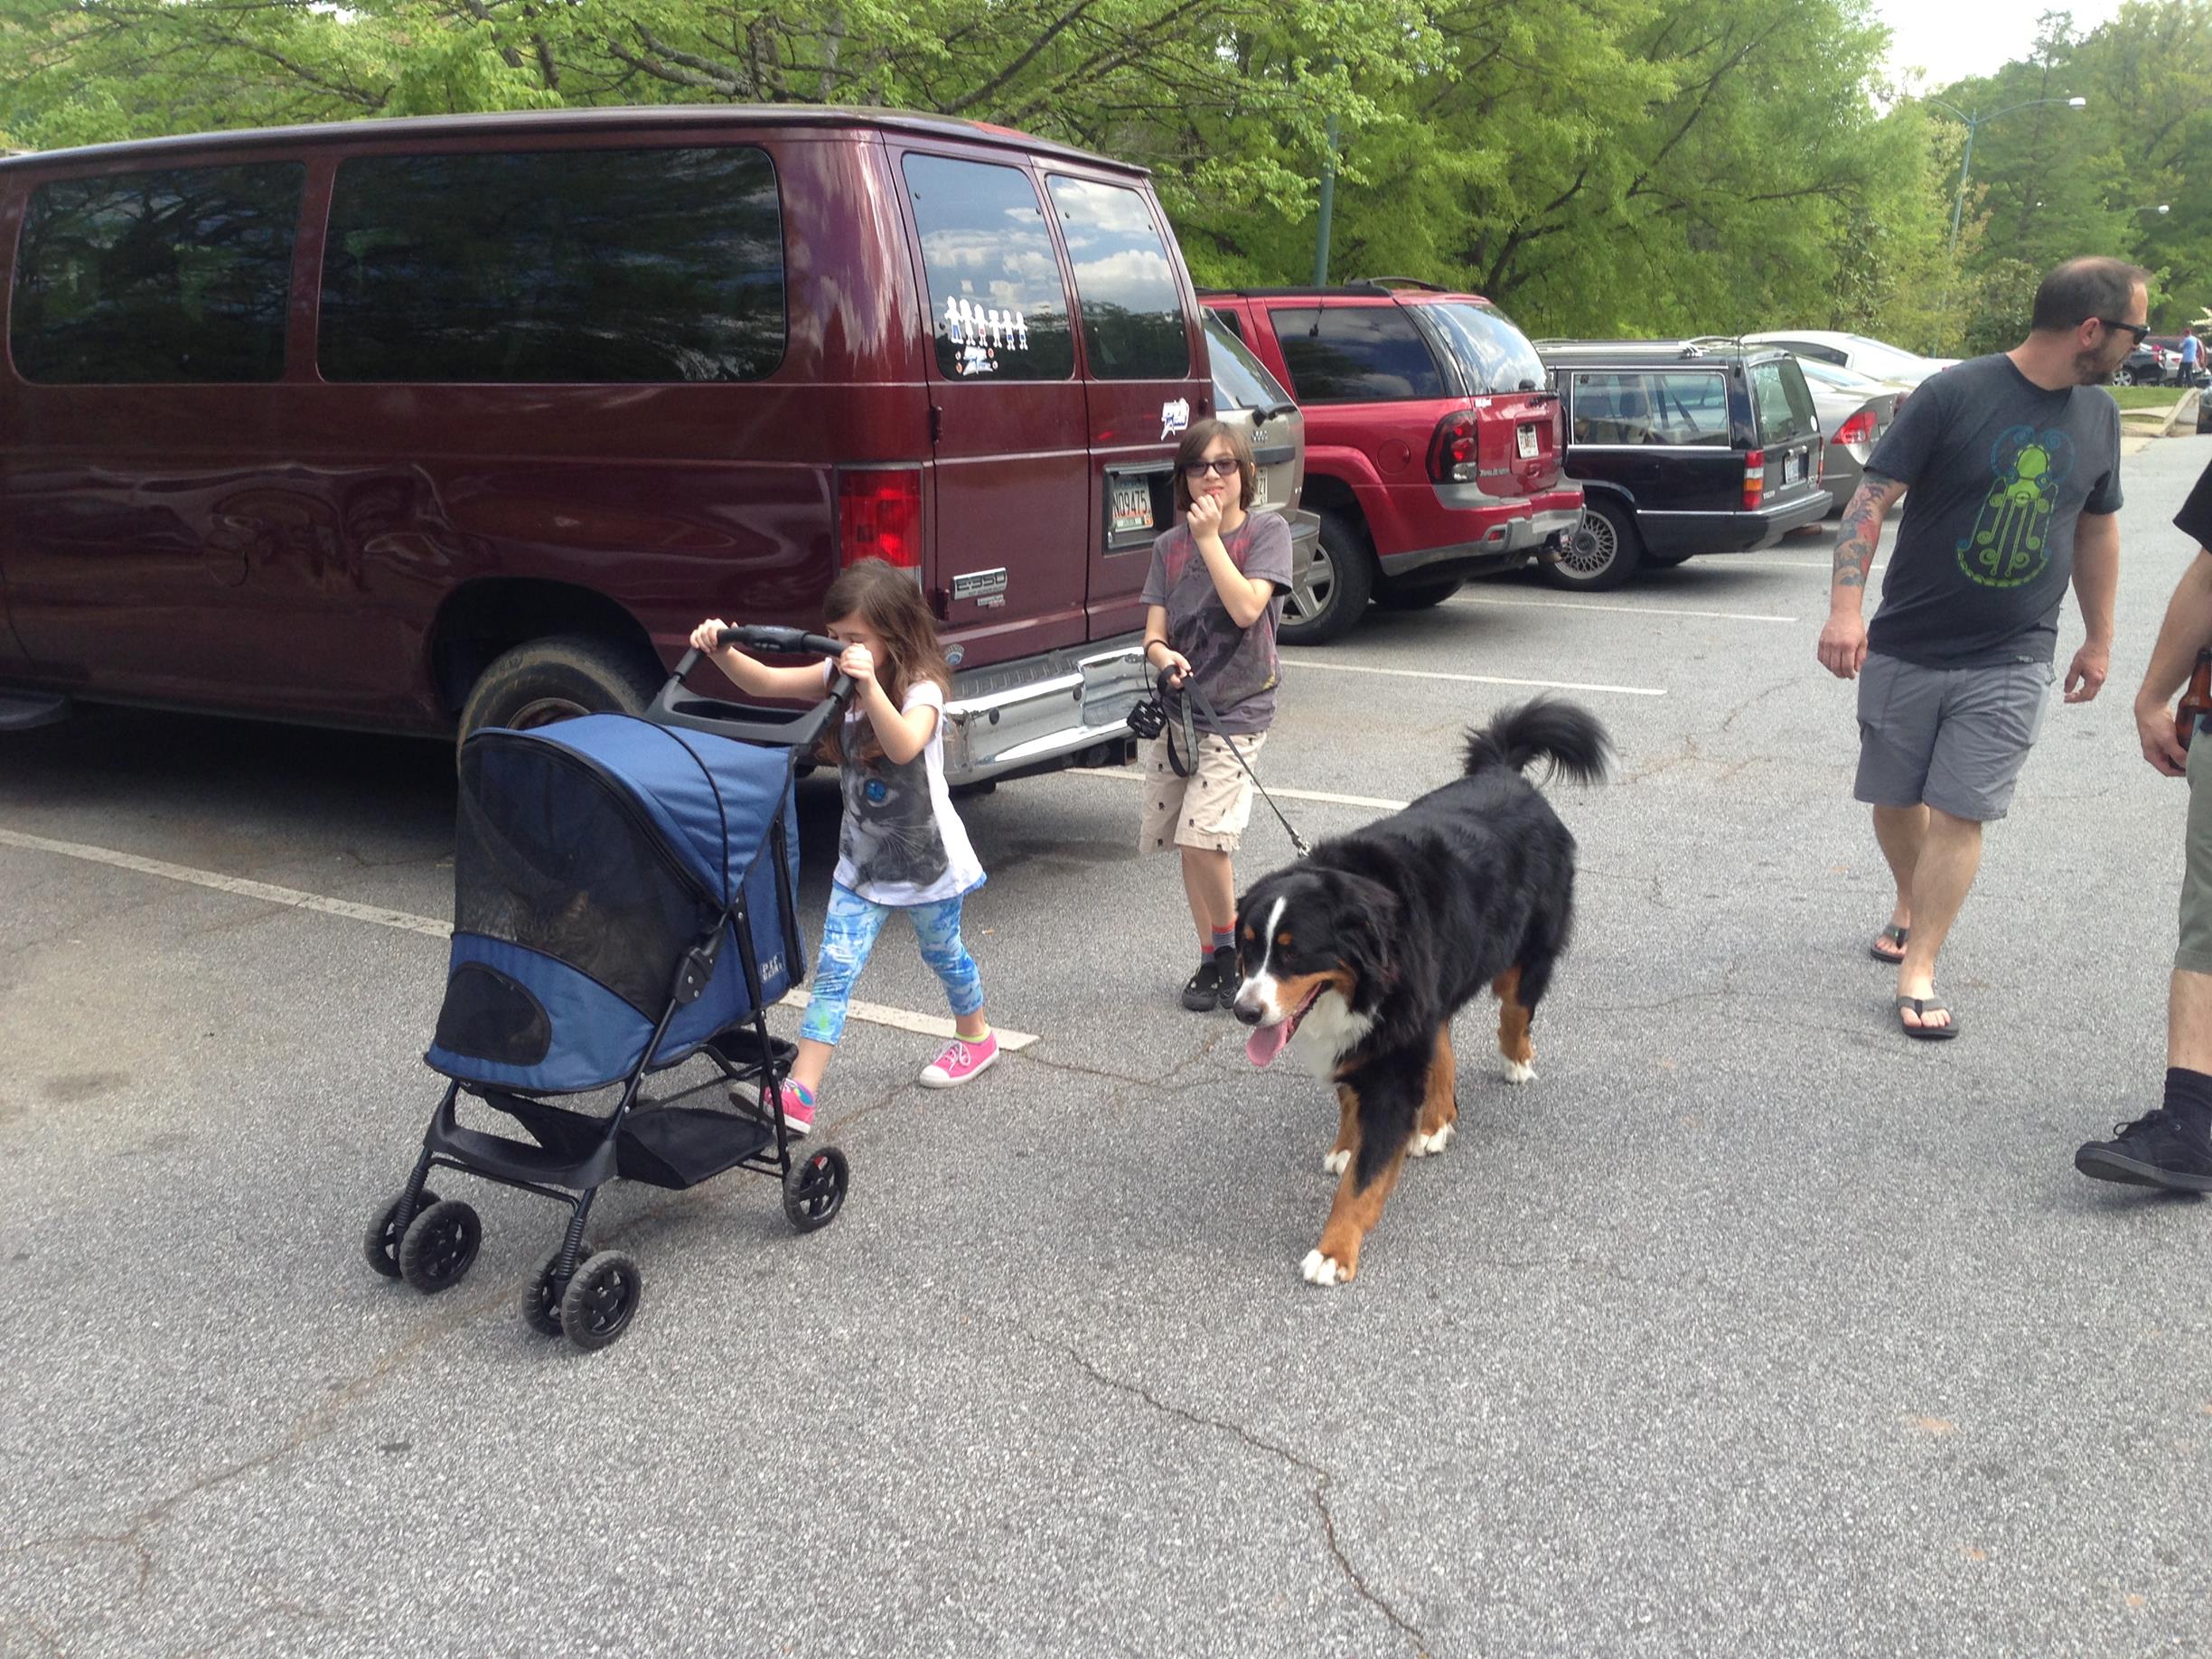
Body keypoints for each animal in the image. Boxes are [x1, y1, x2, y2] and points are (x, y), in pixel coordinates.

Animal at [1230, 694, 1610, 1291]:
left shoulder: (1393, 1052)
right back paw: (1435, 1120)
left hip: (1521, 954)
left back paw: (1515, 1061)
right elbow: (1353, 1105)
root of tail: (1504, 773)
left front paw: (1334, 1251)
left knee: (1514, 1009)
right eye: (1247, 949)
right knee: (1444, 1038)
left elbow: (1364, 1180)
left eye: (1293, 954)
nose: (1245, 1011)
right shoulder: (1378, 1036)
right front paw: (1348, 1145)